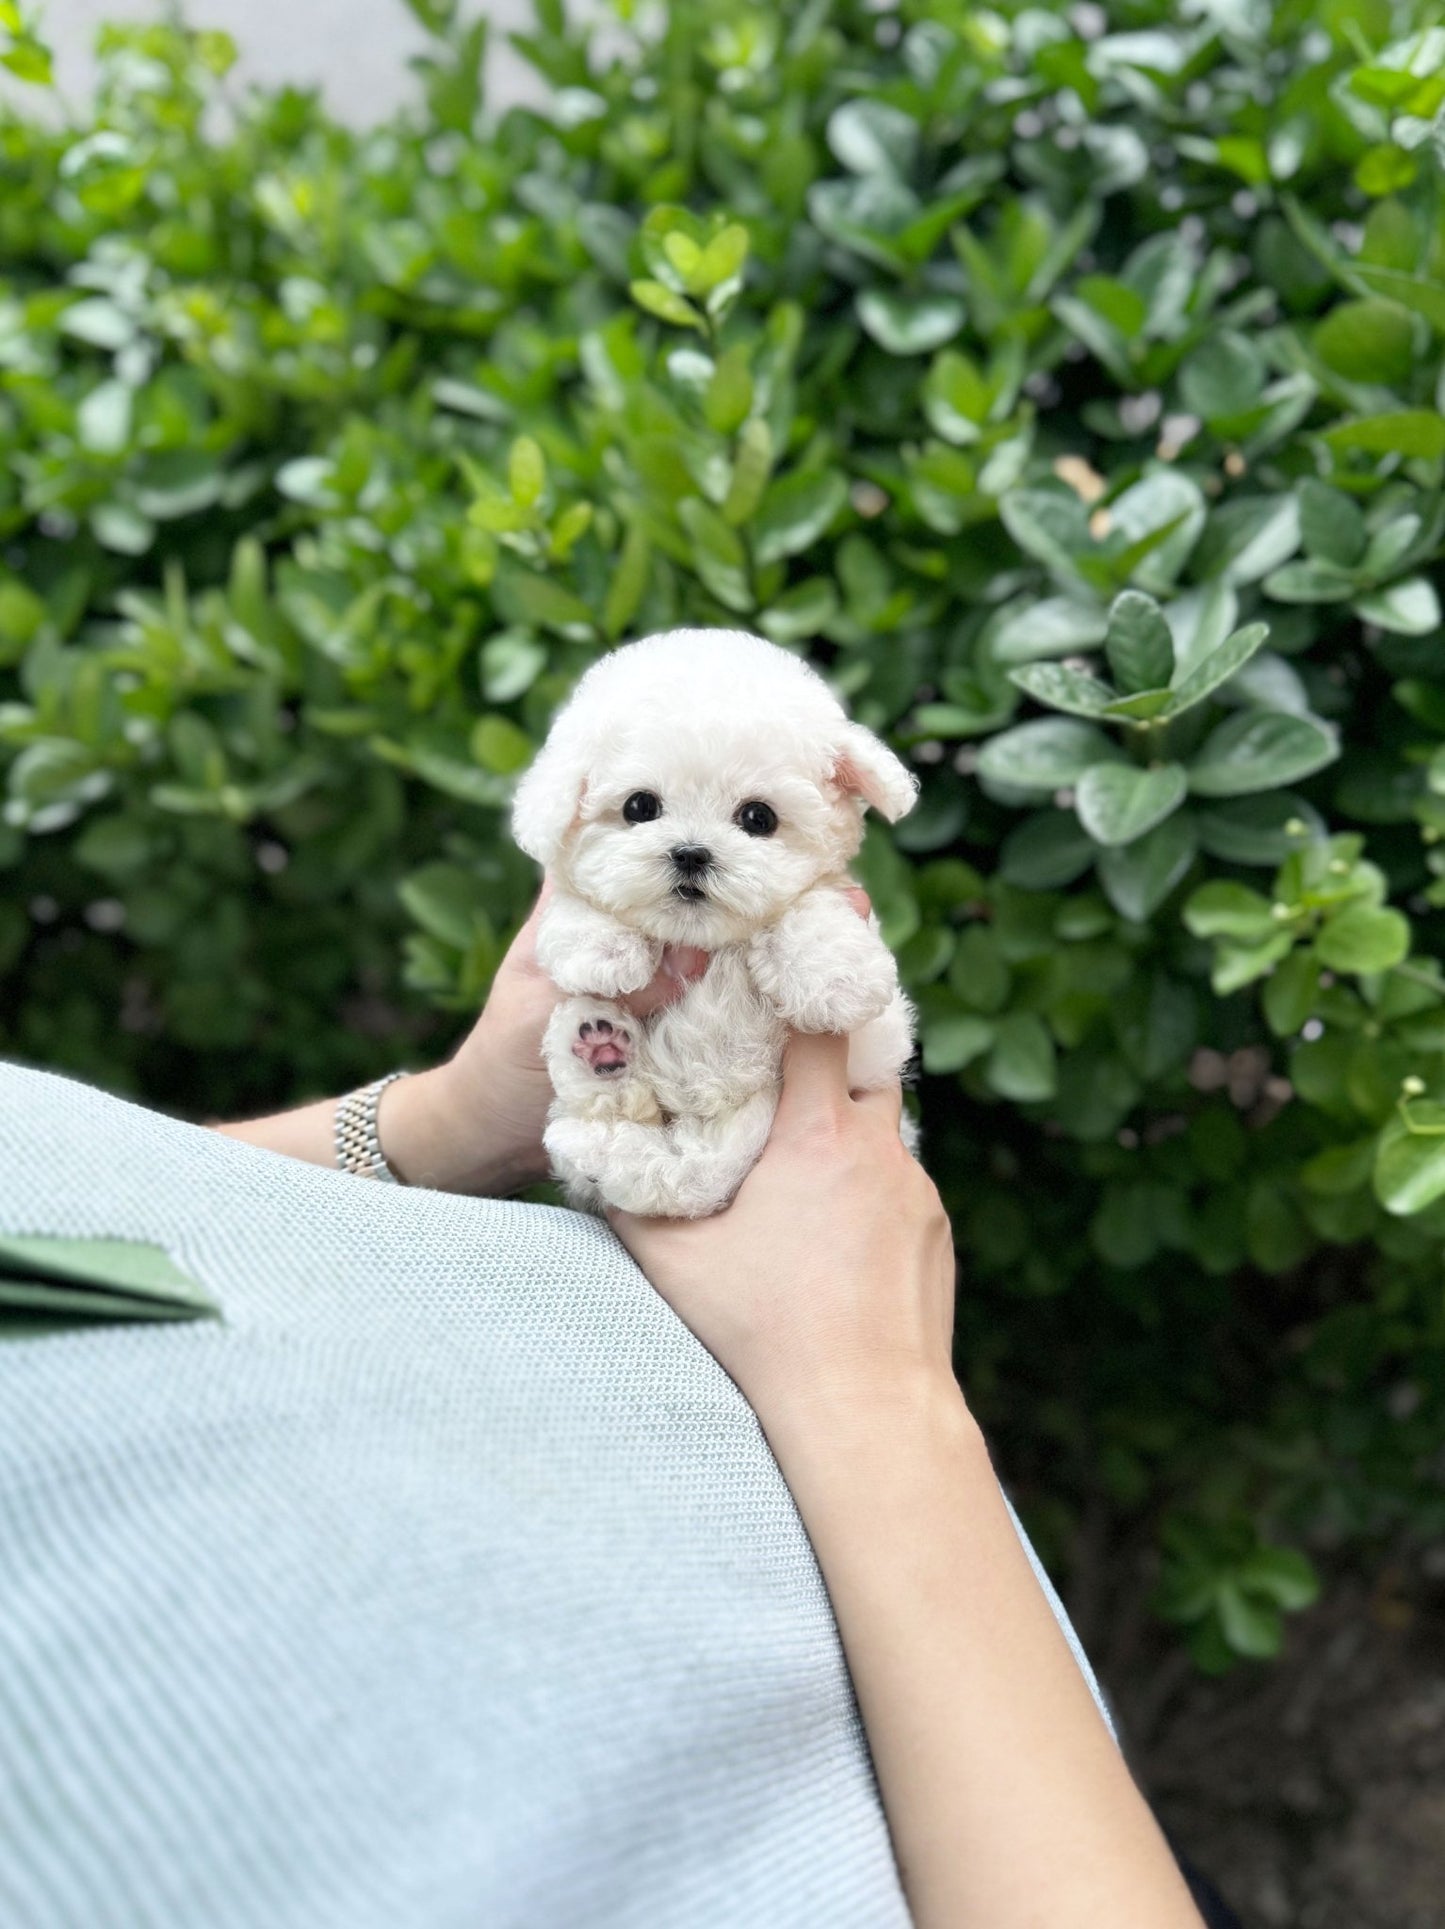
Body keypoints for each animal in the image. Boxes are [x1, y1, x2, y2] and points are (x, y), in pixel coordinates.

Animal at [513, 624, 918, 1211]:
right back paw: (596, 1051)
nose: (690, 853)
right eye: (639, 807)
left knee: (672, 1173)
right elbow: (576, 902)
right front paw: (601, 950)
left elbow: (810, 908)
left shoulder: (870, 1043)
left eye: (758, 817)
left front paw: (834, 978)